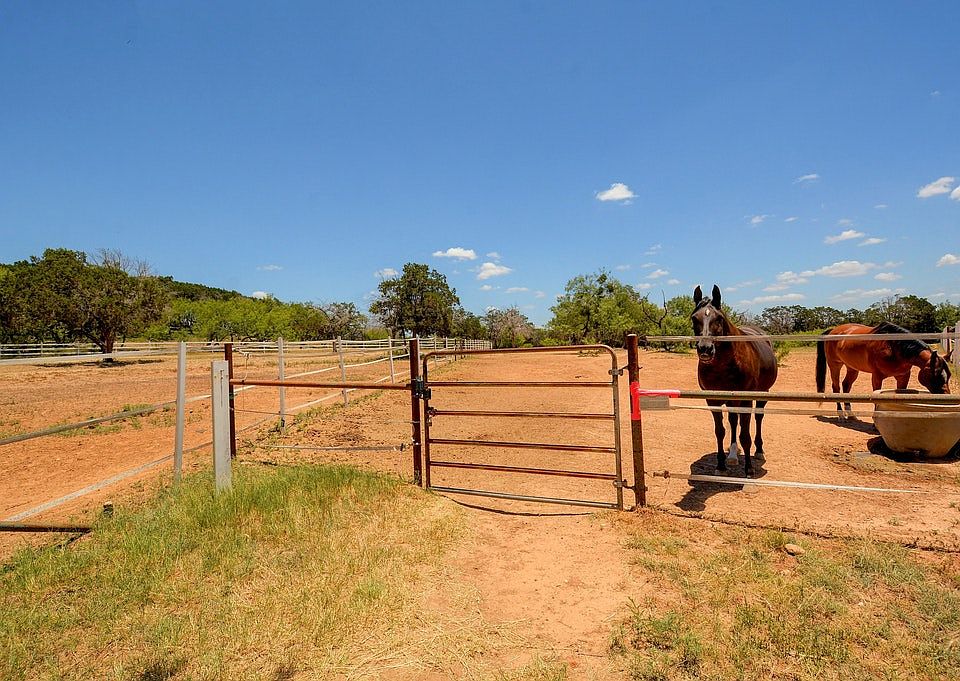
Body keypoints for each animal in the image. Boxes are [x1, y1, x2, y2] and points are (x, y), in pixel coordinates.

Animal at [691, 285, 779, 476]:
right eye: (694, 318)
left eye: (719, 318)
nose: (705, 349)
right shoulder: (713, 400)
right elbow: (720, 431)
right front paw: (721, 465)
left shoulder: (745, 400)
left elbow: (745, 436)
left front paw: (749, 470)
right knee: (733, 420)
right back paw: (732, 455)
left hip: (762, 393)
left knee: (758, 418)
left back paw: (759, 451)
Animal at [816, 322, 953, 418]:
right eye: (936, 376)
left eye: (949, 375)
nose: (946, 397)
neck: (893, 347)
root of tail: (833, 331)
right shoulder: (877, 377)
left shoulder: (903, 376)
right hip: (835, 365)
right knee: (836, 387)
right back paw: (841, 415)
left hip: (852, 368)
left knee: (846, 386)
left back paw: (851, 415)